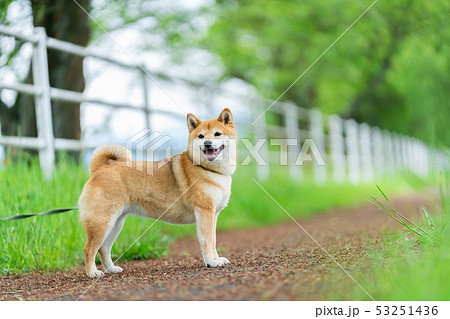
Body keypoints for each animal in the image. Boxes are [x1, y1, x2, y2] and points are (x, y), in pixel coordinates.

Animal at [78, 109, 237, 278]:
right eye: (201, 136)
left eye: (217, 133)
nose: (207, 143)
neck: (208, 169)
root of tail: (100, 167)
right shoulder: (204, 212)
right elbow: (207, 241)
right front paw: (211, 262)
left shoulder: (213, 215)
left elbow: (213, 241)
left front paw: (217, 259)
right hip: (102, 222)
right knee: (89, 248)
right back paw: (92, 272)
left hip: (115, 223)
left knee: (104, 249)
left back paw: (111, 269)